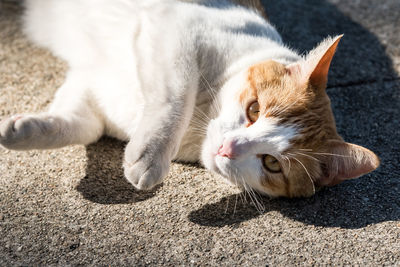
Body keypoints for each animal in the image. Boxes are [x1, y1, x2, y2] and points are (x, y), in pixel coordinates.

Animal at [0, 0, 378, 199]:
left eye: (272, 164)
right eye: (254, 109)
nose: (227, 148)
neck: (200, 120)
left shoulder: (92, 87)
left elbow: (76, 125)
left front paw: (24, 130)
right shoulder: (177, 26)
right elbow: (176, 94)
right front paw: (151, 158)